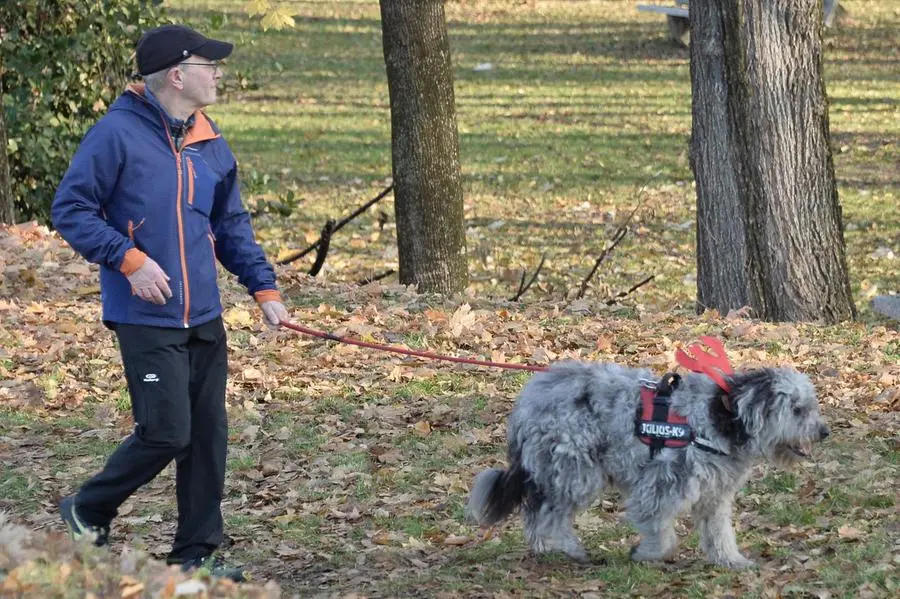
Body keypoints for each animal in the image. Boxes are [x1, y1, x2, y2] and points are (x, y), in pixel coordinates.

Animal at [472, 360, 828, 568]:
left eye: (810, 406)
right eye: (797, 409)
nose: (824, 432)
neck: (722, 416)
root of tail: (526, 403)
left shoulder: (714, 495)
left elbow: (719, 532)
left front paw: (731, 559)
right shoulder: (661, 484)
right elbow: (661, 529)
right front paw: (648, 554)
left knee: (536, 513)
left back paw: (547, 548)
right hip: (575, 469)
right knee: (549, 515)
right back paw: (570, 548)